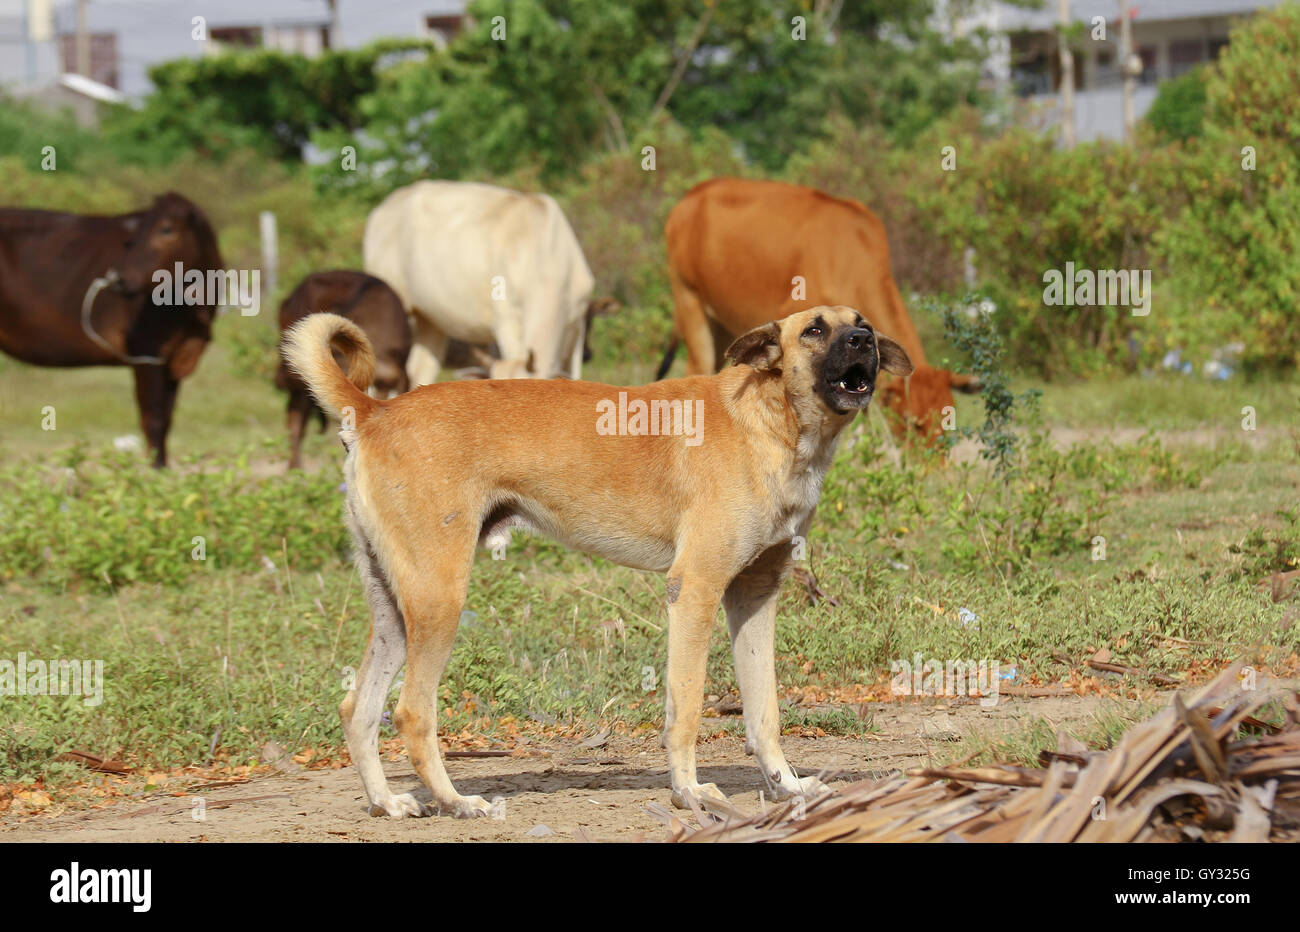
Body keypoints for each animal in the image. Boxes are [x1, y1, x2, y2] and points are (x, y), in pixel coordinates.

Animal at [0, 192, 224, 465]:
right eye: (133, 237)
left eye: (166, 229)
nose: (118, 278)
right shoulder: (146, 351)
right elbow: (153, 419)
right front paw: (154, 470)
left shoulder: (179, 356)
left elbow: (167, 420)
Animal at [284, 304, 915, 816]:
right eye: (815, 329)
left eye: (860, 321)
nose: (864, 340)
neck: (769, 421)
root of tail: (374, 410)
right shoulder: (695, 591)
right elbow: (686, 709)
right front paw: (688, 792)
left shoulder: (753, 599)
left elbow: (765, 715)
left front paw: (786, 787)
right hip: (439, 600)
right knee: (412, 714)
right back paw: (457, 802)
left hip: (397, 608)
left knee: (358, 709)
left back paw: (387, 802)